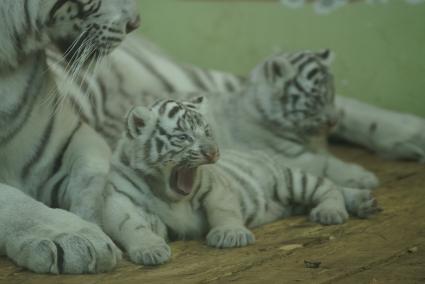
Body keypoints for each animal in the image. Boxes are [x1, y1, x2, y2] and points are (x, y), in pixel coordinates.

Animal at [0, 0, 139, 276]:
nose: (135, 23)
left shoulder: (68, 137)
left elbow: (91, 175)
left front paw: (89, 220)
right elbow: (13, 200)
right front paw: (73, 236)